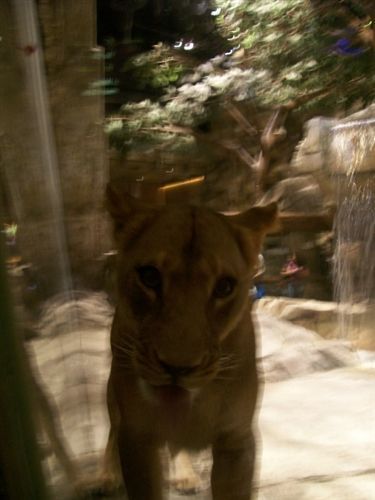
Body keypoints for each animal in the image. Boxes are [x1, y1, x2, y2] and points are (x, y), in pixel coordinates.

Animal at [104, 187, 278, 500]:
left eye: (224, 287)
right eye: (150, 277)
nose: (177, 368)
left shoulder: (236, 441)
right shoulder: (137, 437)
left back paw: (184, 475)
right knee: (113, 428)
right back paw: (106, 476)